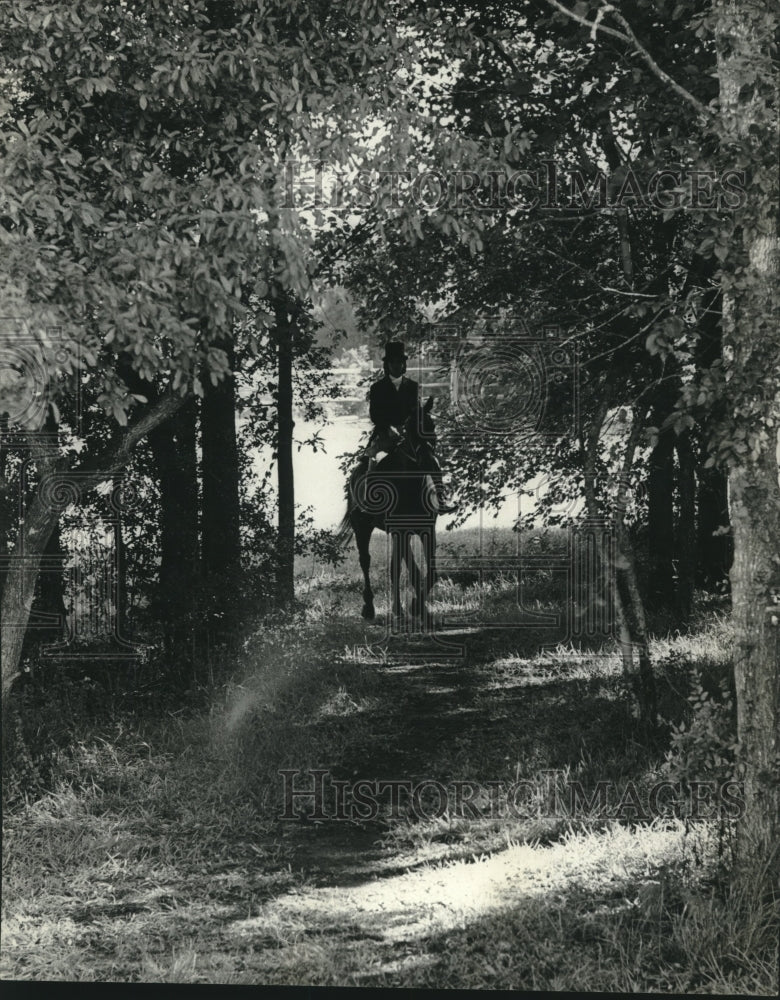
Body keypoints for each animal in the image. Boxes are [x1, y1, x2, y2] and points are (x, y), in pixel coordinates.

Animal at [338, 396, 442, 624]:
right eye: (410, 428)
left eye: (432, 425)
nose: (429, 462)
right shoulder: (400, 531)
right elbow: (408, 570)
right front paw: (413, 608)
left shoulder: (426, 531)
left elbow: (430, 571)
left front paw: (419, 608)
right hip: (363, 528)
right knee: (366, 561)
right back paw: (370, 608)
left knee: (400, 565)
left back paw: (403, 609)